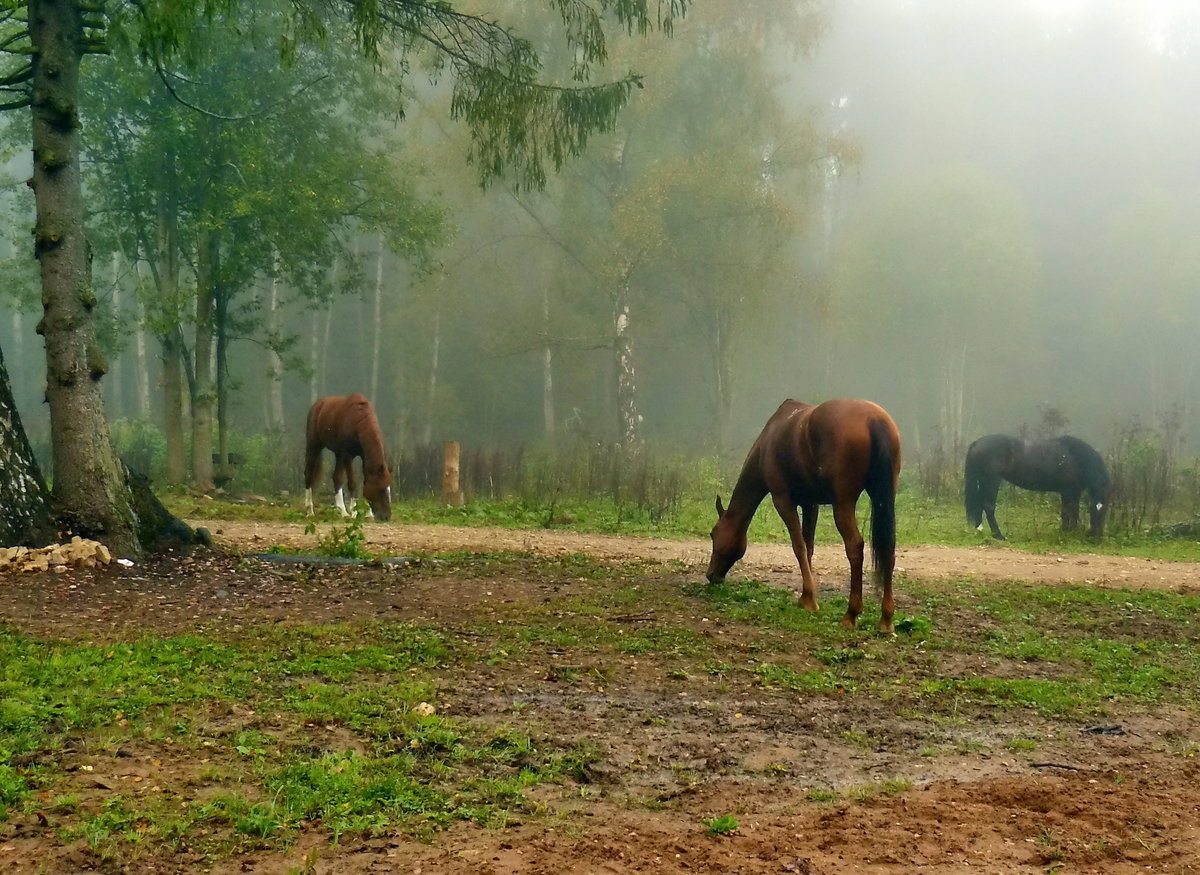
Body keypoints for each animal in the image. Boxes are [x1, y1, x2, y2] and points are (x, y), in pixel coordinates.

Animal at [706, 399, 902, 634]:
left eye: (713, 534)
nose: (711, 575)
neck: (768, 441)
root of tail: (874, 419)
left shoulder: (783, 501)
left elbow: (798, 546)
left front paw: (809, 600)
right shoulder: (811, 504)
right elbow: (808, 547)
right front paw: (806, 596)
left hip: (843, 504)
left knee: (855, 547)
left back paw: (851, 614)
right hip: (883, 497)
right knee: (888, 549)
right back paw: (886, 619)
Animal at [964, 434, 1111, 540]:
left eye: (1105, 510)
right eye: (1095, 509)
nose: (1095, 536)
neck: (1075, 457)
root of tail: (977, 443)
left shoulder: (1069, 492)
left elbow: (1067, 513)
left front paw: (1065, 532)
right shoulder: (1070, 491)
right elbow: (1071, 512)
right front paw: (1070, 533)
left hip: (983, 481)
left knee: (979, 505)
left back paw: (979, 531)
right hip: (991, 481)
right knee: (988, 506)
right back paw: (998, 535)